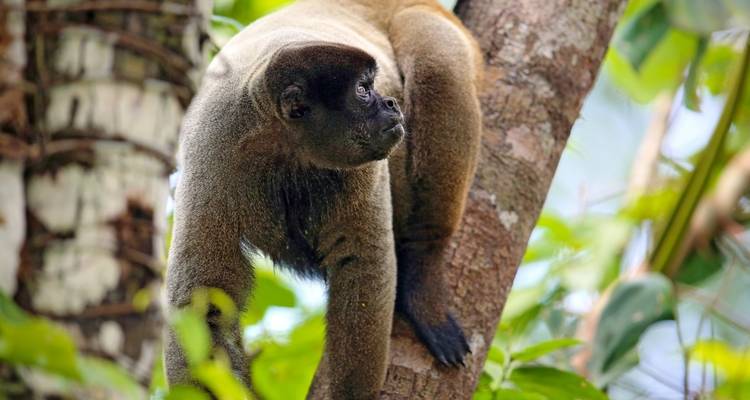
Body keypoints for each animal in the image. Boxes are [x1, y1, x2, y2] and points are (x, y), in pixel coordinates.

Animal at [165, 0, 483, 398]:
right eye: (363, 90)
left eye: (373, 84)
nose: (391, 104)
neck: (282, 142)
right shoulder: (211, 160)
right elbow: (203, 304)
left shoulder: (362, 168)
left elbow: (363, 262)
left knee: (436, 64)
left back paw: (422, 281)